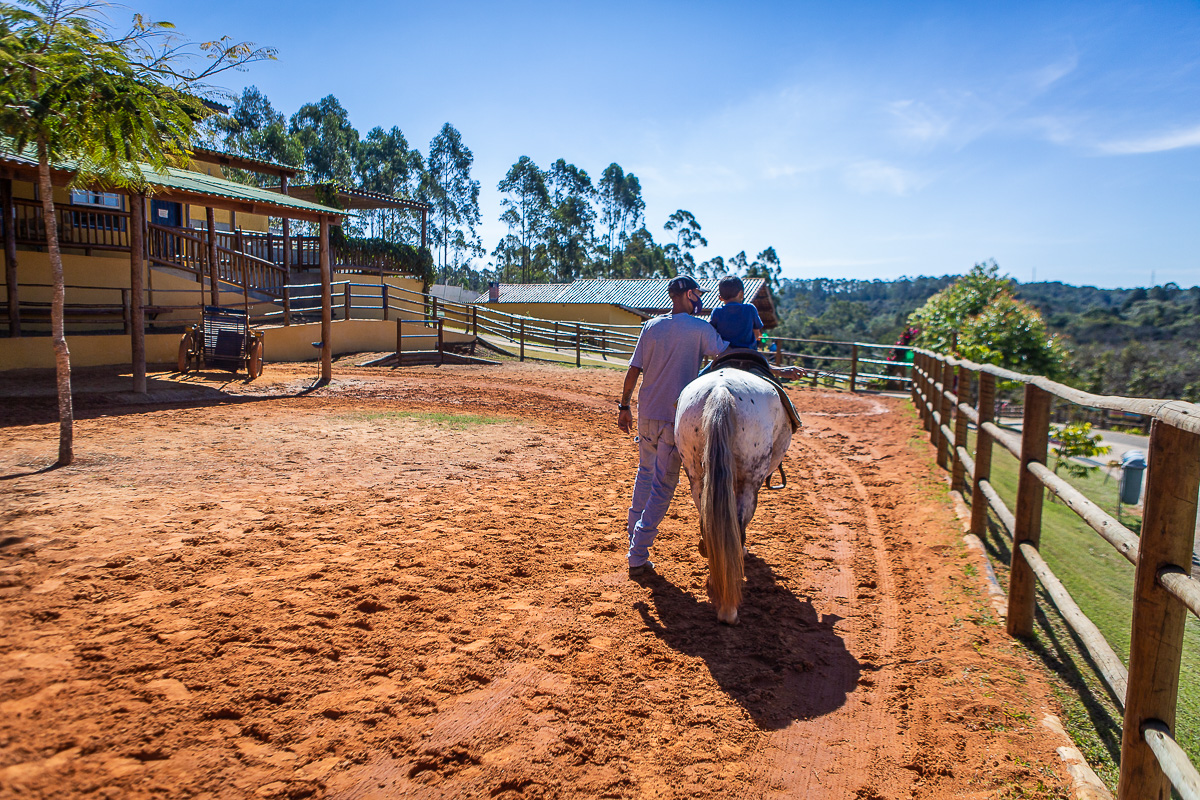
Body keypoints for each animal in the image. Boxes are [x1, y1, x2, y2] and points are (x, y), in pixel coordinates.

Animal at [675, 366, 794, 625]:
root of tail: (721, 390)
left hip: (696, 476)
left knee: (709, 524)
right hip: (750, 481)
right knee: (738, 524)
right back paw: (729, 608)